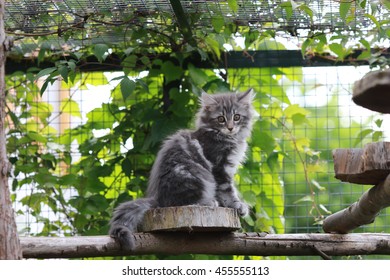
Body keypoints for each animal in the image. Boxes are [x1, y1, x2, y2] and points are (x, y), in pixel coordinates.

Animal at [109, 89, 256, 249]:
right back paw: (208, 202)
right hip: (196, 176)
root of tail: (159, 199)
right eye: (221, 119)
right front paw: (237, 205)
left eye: (236, 117)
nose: (230, 127)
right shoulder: (219, 167)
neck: (225, 137)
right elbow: (227, 190)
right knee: (185, 201)